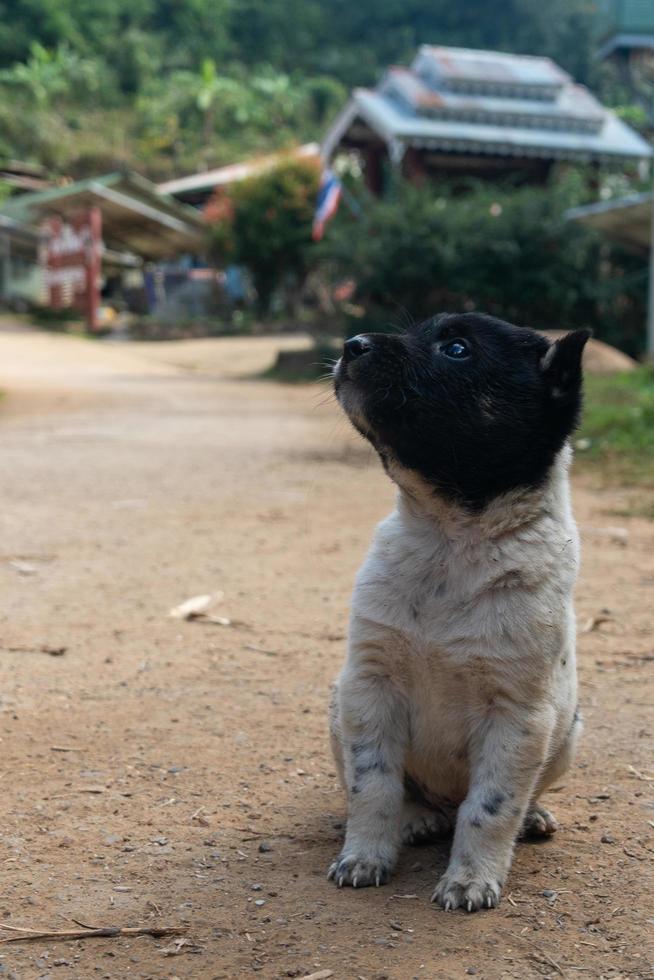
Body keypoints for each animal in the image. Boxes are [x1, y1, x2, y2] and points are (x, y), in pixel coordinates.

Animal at [330, 314, 592, 912]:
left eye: (456, 350)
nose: (351, 345)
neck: (451, 542)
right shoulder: (369, 685)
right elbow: (373, 785)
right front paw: (365, 856)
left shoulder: (518, 715)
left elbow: (490, 807)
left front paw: (471, 879)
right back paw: (417, 819)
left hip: (565, 736)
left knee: (498, 801)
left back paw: (532, 816)